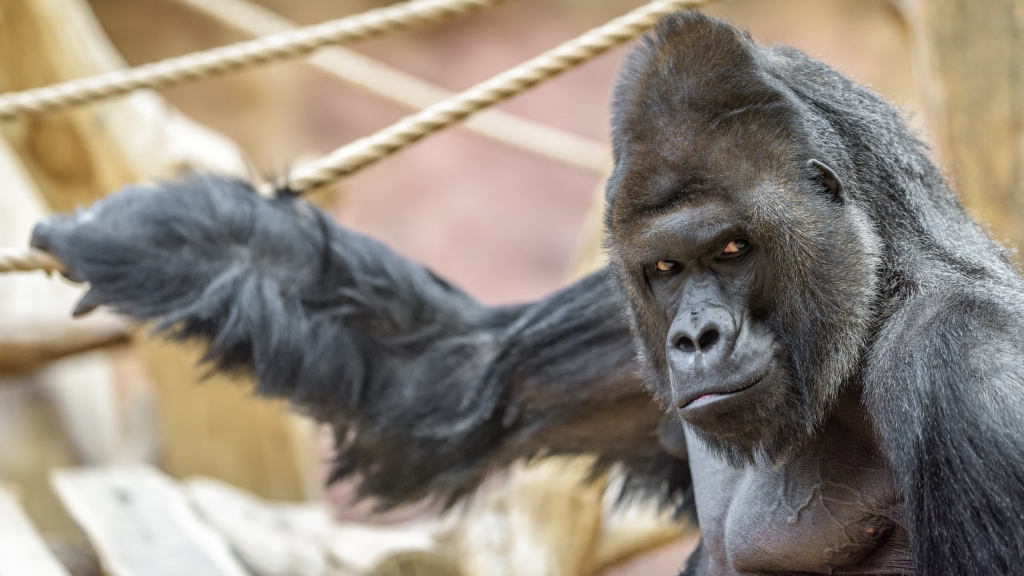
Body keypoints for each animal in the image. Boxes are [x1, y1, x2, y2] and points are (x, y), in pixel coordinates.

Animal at [28, 10, 1024, 573]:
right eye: (667, 270)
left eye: (735, 248)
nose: (695, 338)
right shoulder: (625, 321)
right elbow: (448, 371)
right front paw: (133, 234)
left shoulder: (967, 371)